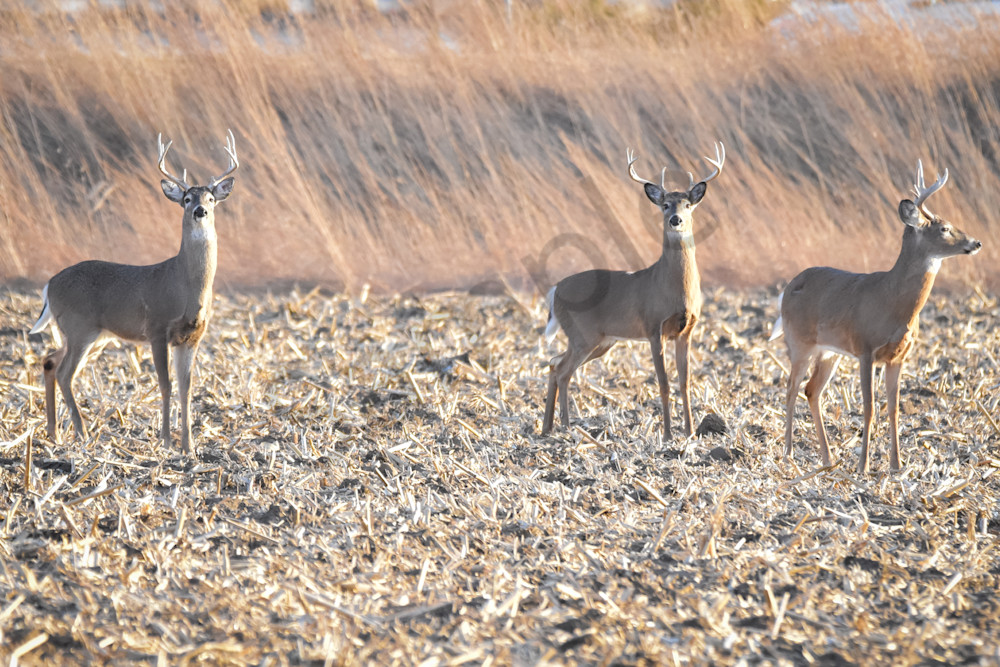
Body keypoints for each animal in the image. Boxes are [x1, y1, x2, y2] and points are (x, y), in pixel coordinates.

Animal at [29, 130, 238, 455]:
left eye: (212, 198)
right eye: (186, 198)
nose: (199, 211)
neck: (185, 285)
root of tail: (50, 284)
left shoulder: (192, 337)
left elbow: (187, 388)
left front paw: (189, 447)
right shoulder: (157, 329)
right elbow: (166, 385)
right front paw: (166, 441)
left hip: (91, 334)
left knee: (49, 360)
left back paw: (54, 432)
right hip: (80, 328)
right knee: (65, 373)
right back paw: (81, 432)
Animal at [541, 142, 725, 439]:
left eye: (688, 204)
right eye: (665, 204)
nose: (676, 220)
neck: (675, 290)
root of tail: (555, 290)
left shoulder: (687, 330)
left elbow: (685, 383)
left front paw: (690, 432)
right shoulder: (653, 328)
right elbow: (663, 383)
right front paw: (668, 435)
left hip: (600, 341)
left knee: (554, 362)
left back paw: (547, 428)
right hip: (583, 334)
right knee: (563, 370)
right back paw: (567, 426)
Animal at [771, 160, 981, 474]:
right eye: (944, 228)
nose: (976, 242)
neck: (893, 303)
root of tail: (786, 289)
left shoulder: (898, 357)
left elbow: (893, 408)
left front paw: (896, 464)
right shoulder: (865, 349)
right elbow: (869, 407)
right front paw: (863, 465)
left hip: (829, 352)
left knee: (812, 390)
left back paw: (827, 458)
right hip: (799, 342)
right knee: (790, 388)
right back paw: (789, 453)